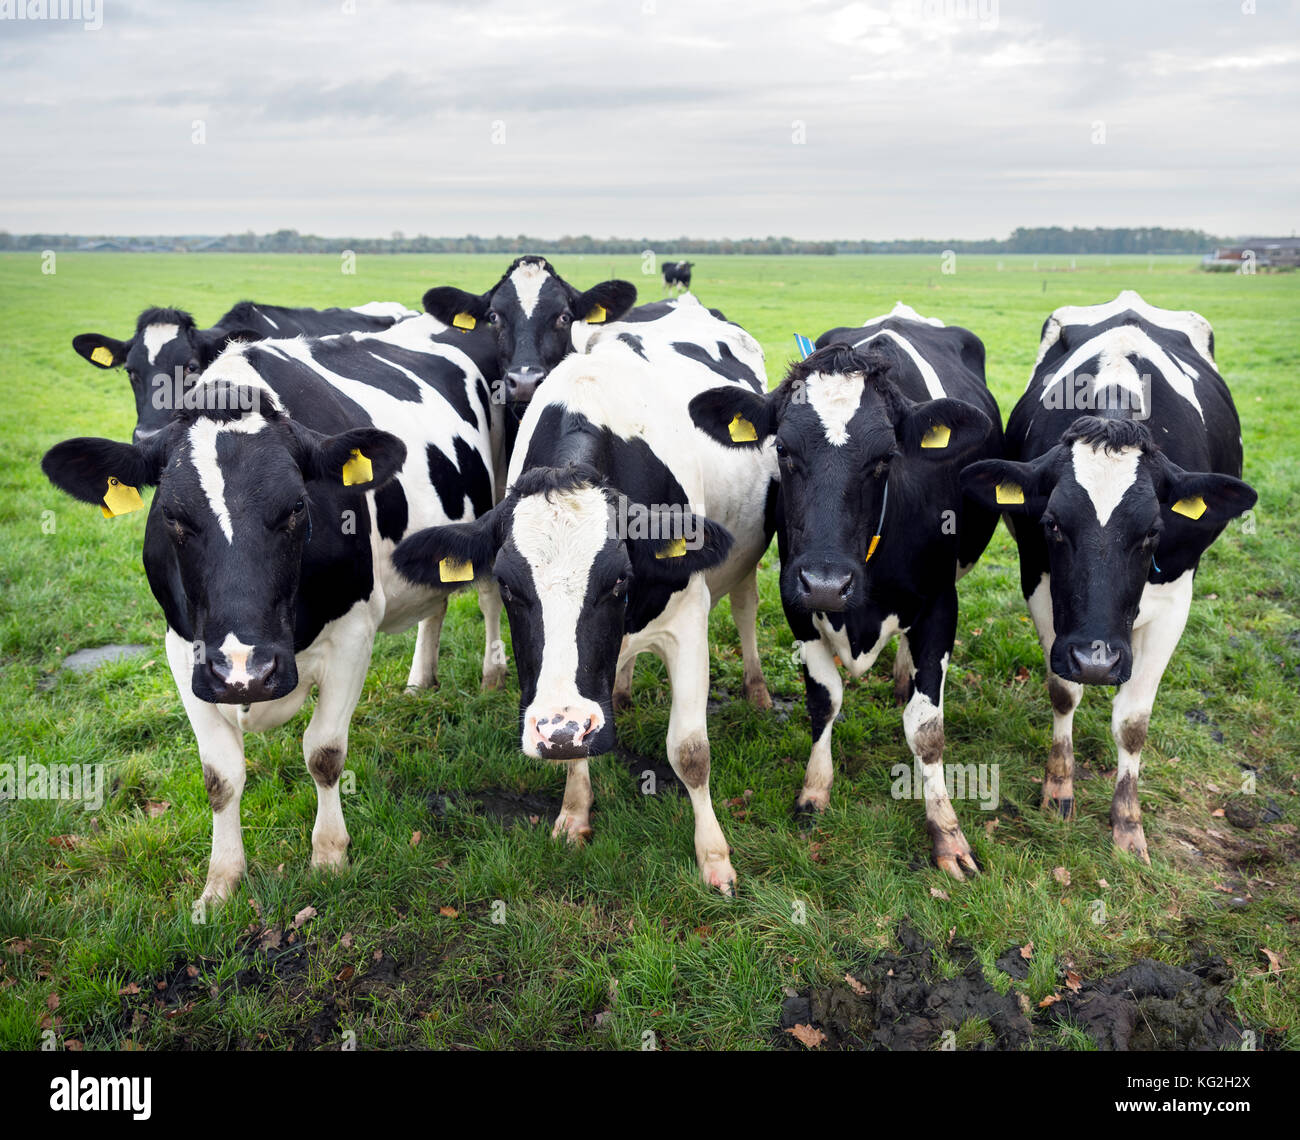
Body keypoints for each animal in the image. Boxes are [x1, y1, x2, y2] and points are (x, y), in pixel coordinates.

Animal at [393, 294, 778, 893]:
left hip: (745, 562)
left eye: (618, 579)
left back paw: (757, 690)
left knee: (745, 608)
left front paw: (714, 858)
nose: (562, 730)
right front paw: (574, 813)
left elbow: (690, 751)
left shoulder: (688, 619)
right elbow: (578, 744)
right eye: (507, 585)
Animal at [688, 302, 1002, 879]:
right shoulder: (795, 597)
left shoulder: (941, 605)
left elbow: (926, 727)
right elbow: (824, 699)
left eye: (885, 457)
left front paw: (947, 831)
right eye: (783, 450)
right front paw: (815, 791)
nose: (829, 582)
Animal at [960, 291, 1256, 862]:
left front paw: (1127, 824)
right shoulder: (1039, 582)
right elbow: (1063, 692)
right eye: (1052, 524)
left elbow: (1133, 724)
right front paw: (1058, 788)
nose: (1096, 660)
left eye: (1153, 532)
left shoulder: (1174, 602)